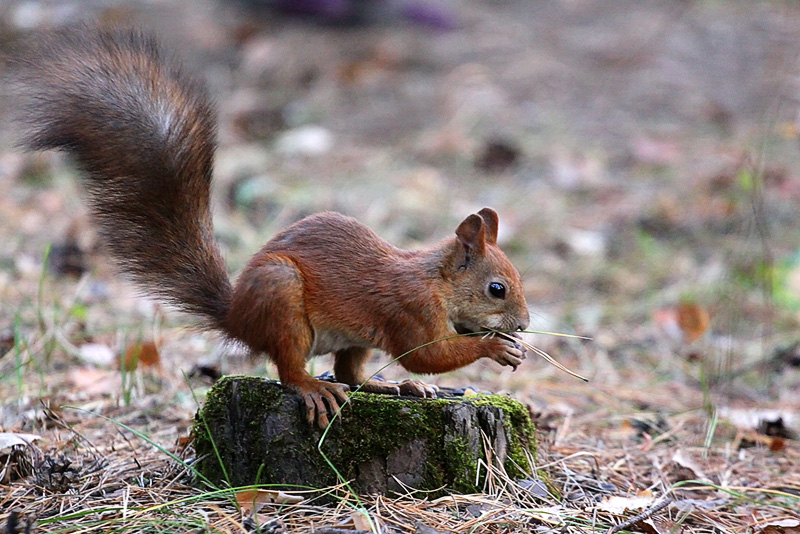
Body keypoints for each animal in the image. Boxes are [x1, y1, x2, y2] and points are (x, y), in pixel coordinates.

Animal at [15, 27, 532, 430]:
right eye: (497, 288)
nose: (525, 325)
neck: (435, 281)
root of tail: (236, 315)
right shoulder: (411, 310)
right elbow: (427, 357)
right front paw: (495, 347)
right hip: (281, 297)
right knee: (290, 368)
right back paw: (313, 387)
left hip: (351, 339)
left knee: (351, 374)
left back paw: (393, 388)